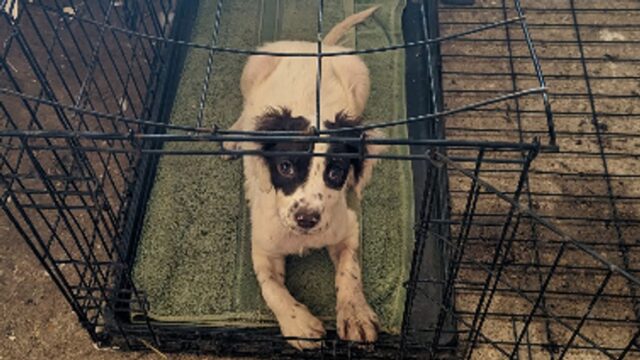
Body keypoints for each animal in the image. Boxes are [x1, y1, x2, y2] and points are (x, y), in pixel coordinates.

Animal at [224, 7, 384, 350]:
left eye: (335, 173)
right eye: (285, 167)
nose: (307, 219)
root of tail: (313, 46)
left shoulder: (348, 228)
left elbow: (350, 272)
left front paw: (355, 315)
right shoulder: (263, 247)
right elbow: (271, 289)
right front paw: (298, 323)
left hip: (360, 76)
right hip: (253, 66)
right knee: (246, 110)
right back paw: (233, 137)